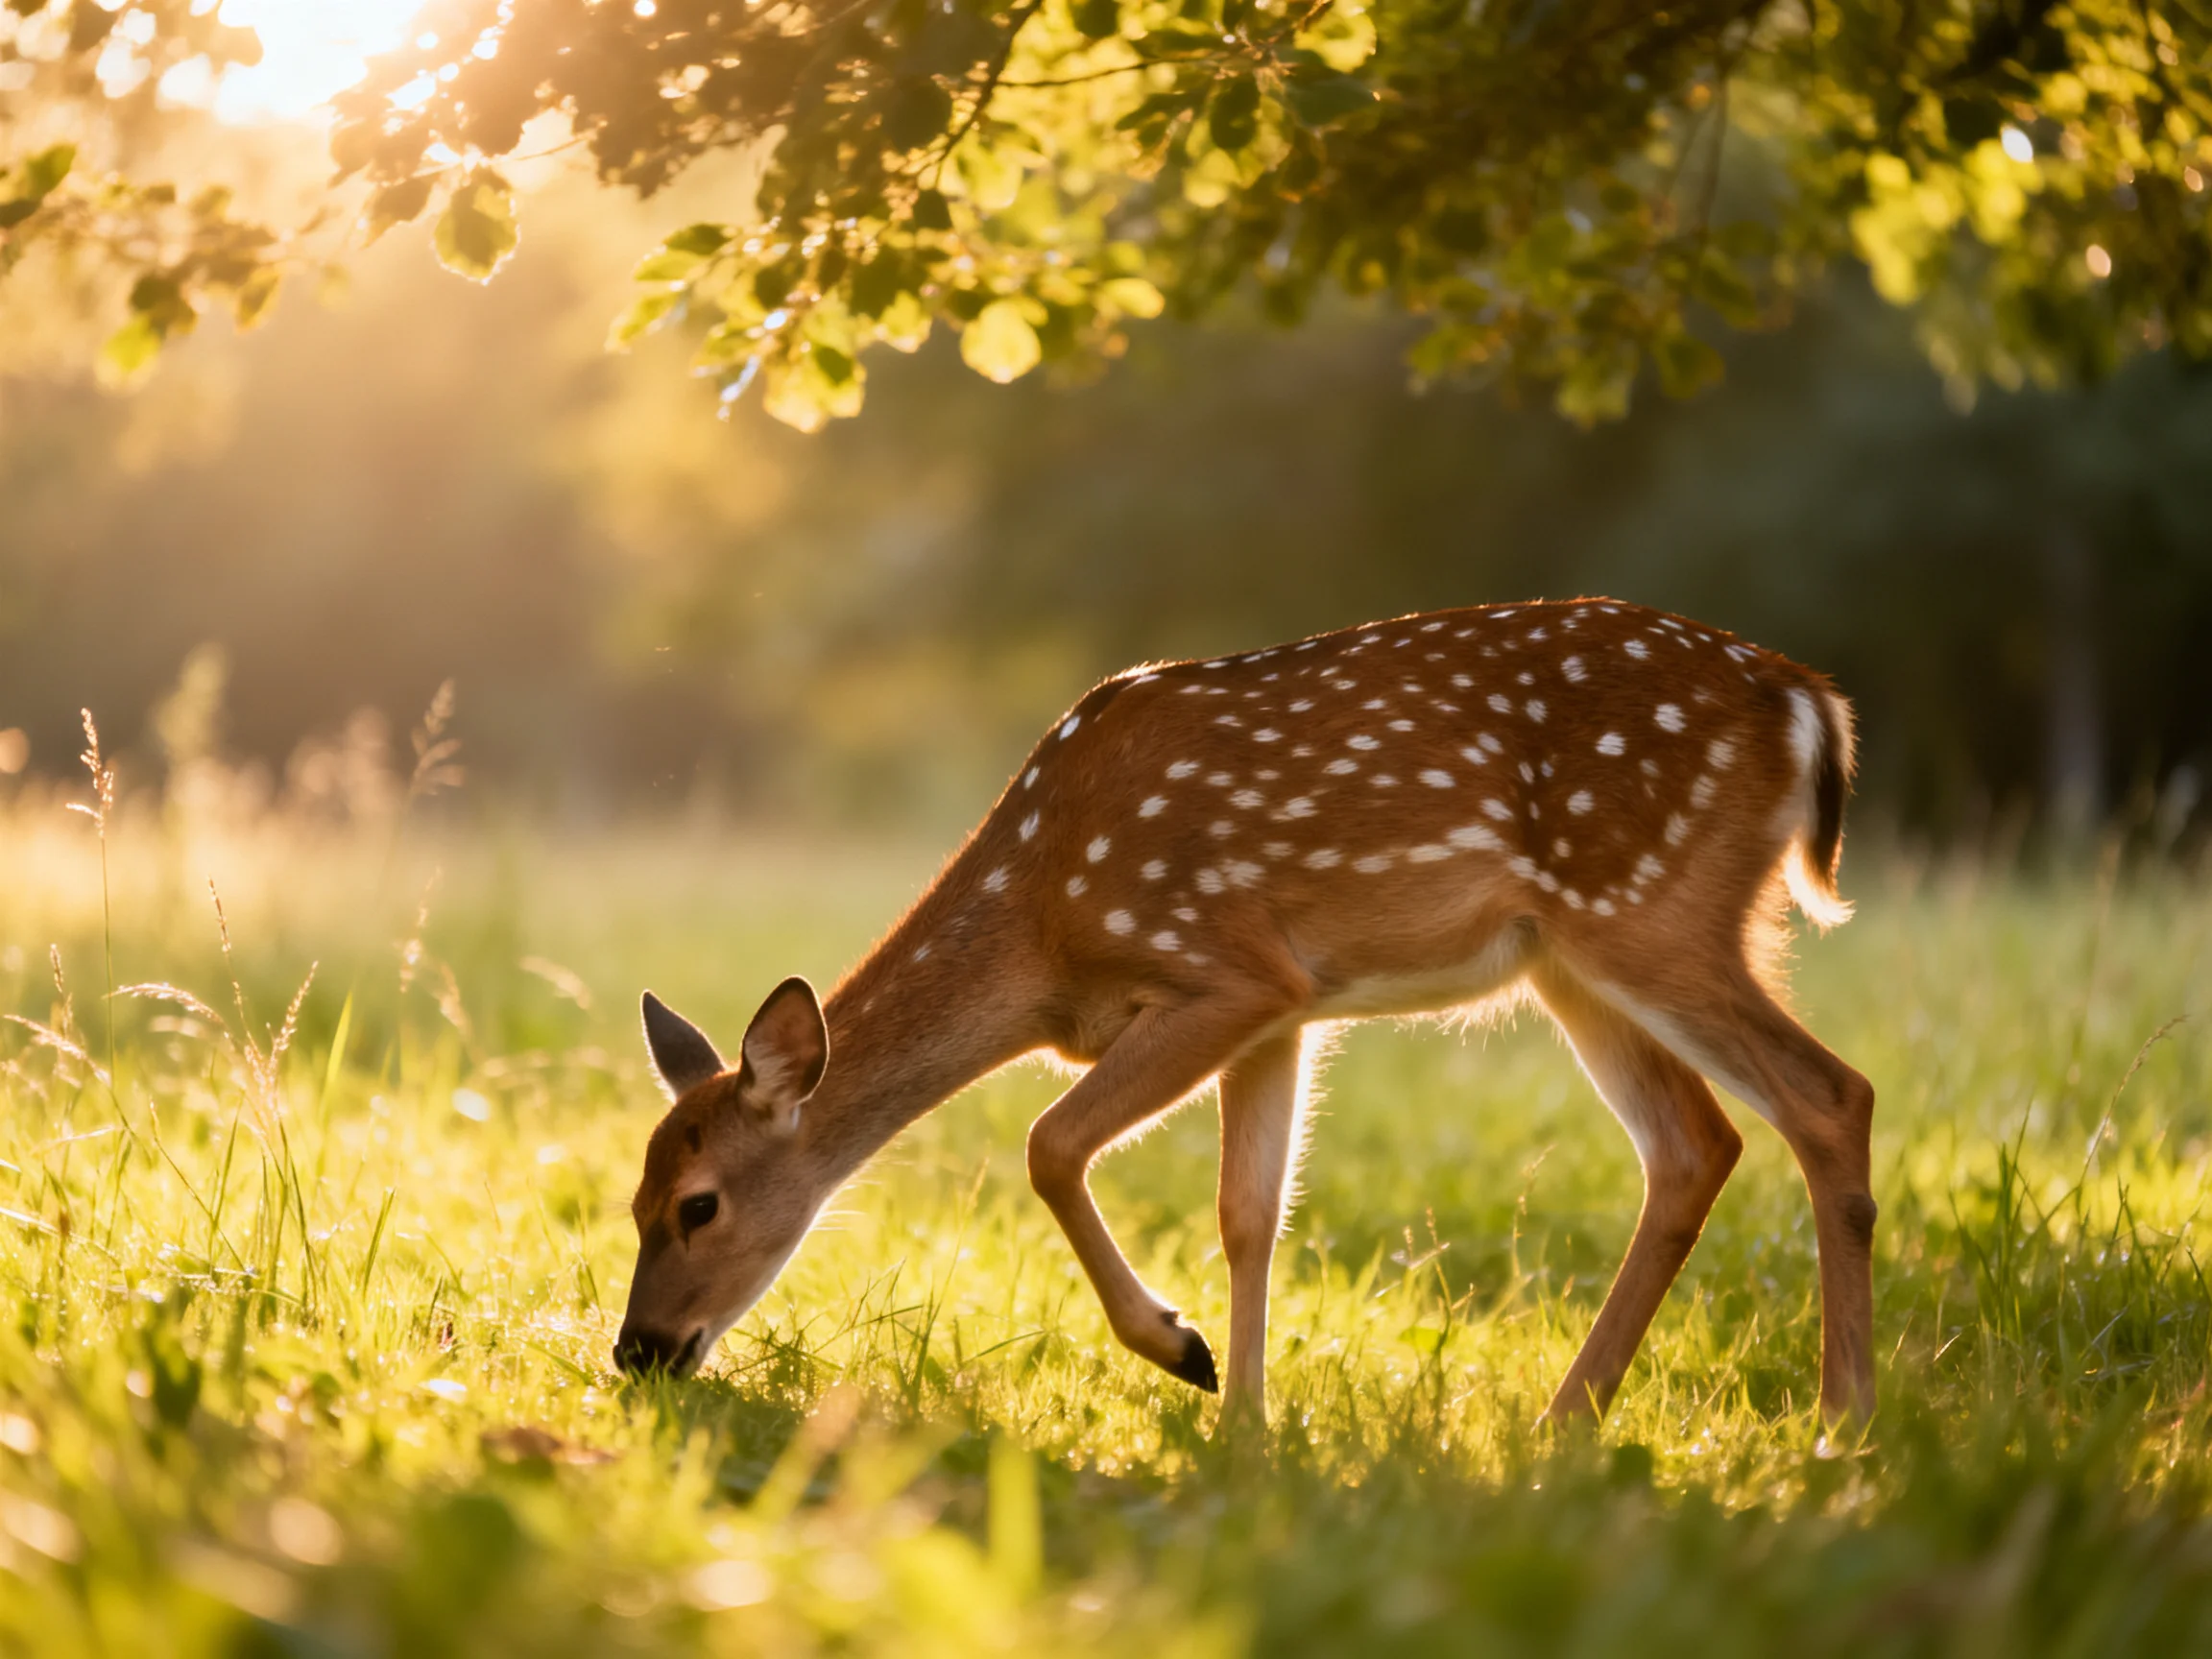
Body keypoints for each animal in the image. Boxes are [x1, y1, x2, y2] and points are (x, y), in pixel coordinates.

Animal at [613, 599, 1876, 1430]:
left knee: (1829, 1095)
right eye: (631, 1201)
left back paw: (1842, 1423)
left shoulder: (1226, 971)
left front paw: (1182, 1353)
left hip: (1651, 906)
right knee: (1695, 1144)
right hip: (1573, 959)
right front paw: (1245, 1424)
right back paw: (1567, 1417)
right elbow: (1250, 1213)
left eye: (696, 1204)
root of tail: (1809, 705)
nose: (637, 1351)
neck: (1042, 923)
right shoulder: (1287, 1011)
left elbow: (1050, 1142)